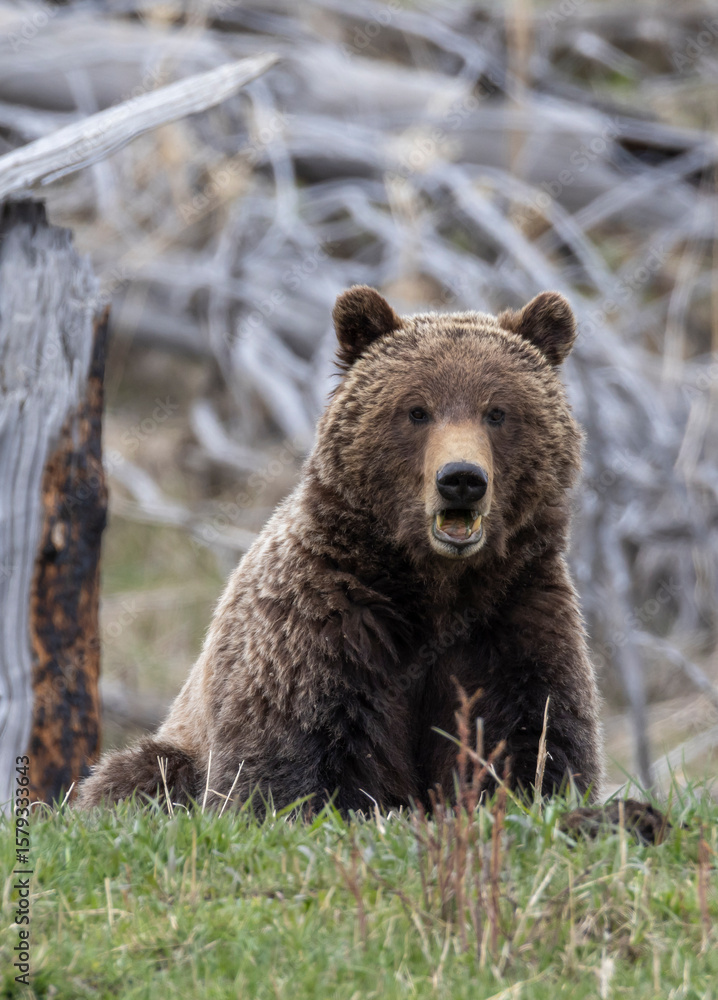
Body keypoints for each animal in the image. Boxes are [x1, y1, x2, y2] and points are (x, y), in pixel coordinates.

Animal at [77, 286, 603, 813]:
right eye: (417, 410)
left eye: (497, 412)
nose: (461, 478)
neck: (437, 586)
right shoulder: (322, 625)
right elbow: (289, 761)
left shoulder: (515, 619)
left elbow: (537, 740)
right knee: (141, 774)